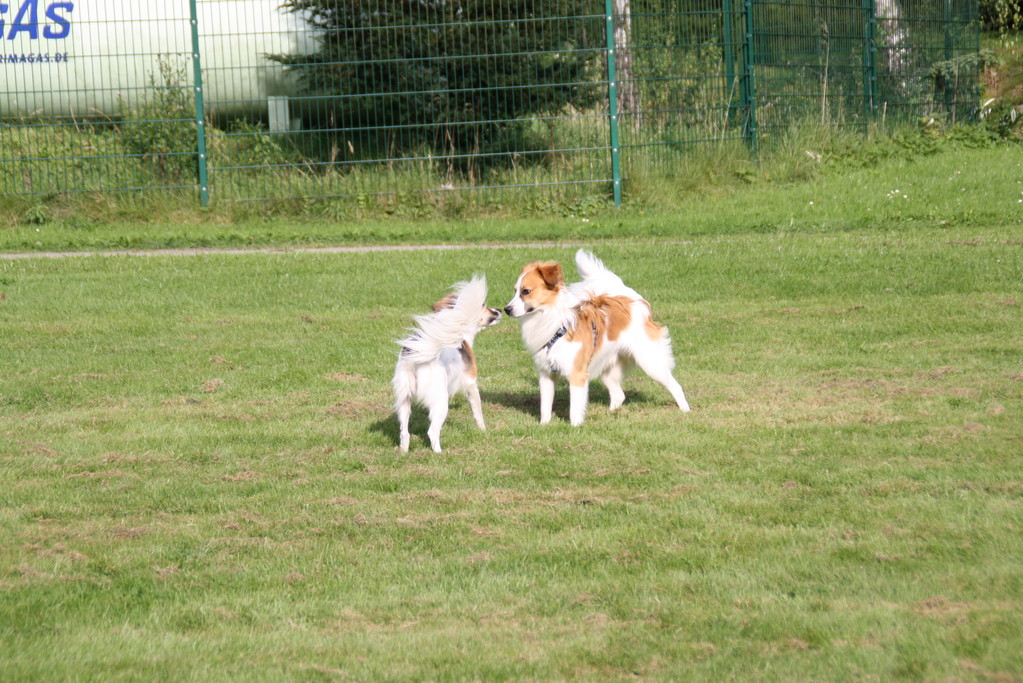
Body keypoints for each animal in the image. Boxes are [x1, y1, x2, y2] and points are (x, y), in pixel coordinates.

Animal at [392, 274, 501, 449]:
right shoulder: (471, 384)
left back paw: (404, 451)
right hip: (440, 400)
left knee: (404, 433)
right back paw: (438, 452)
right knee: (432, 432)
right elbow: (477, 412)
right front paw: (483, 430)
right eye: (484, 306)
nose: (500, 310)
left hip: (404, 398)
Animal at [501, 248, 687, 423]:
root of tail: (634, 302)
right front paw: (544, 425)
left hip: (650, 362)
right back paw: (611, 414)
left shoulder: (577, 374)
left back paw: (685, 410)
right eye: (515, 291)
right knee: (619, 394)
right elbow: (545, 407)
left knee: (675, 386)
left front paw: (575, 427)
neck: (554, 324)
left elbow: (574, 409)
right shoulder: (546, 375)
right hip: (606, 367)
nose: (506, 309)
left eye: (526, 291)